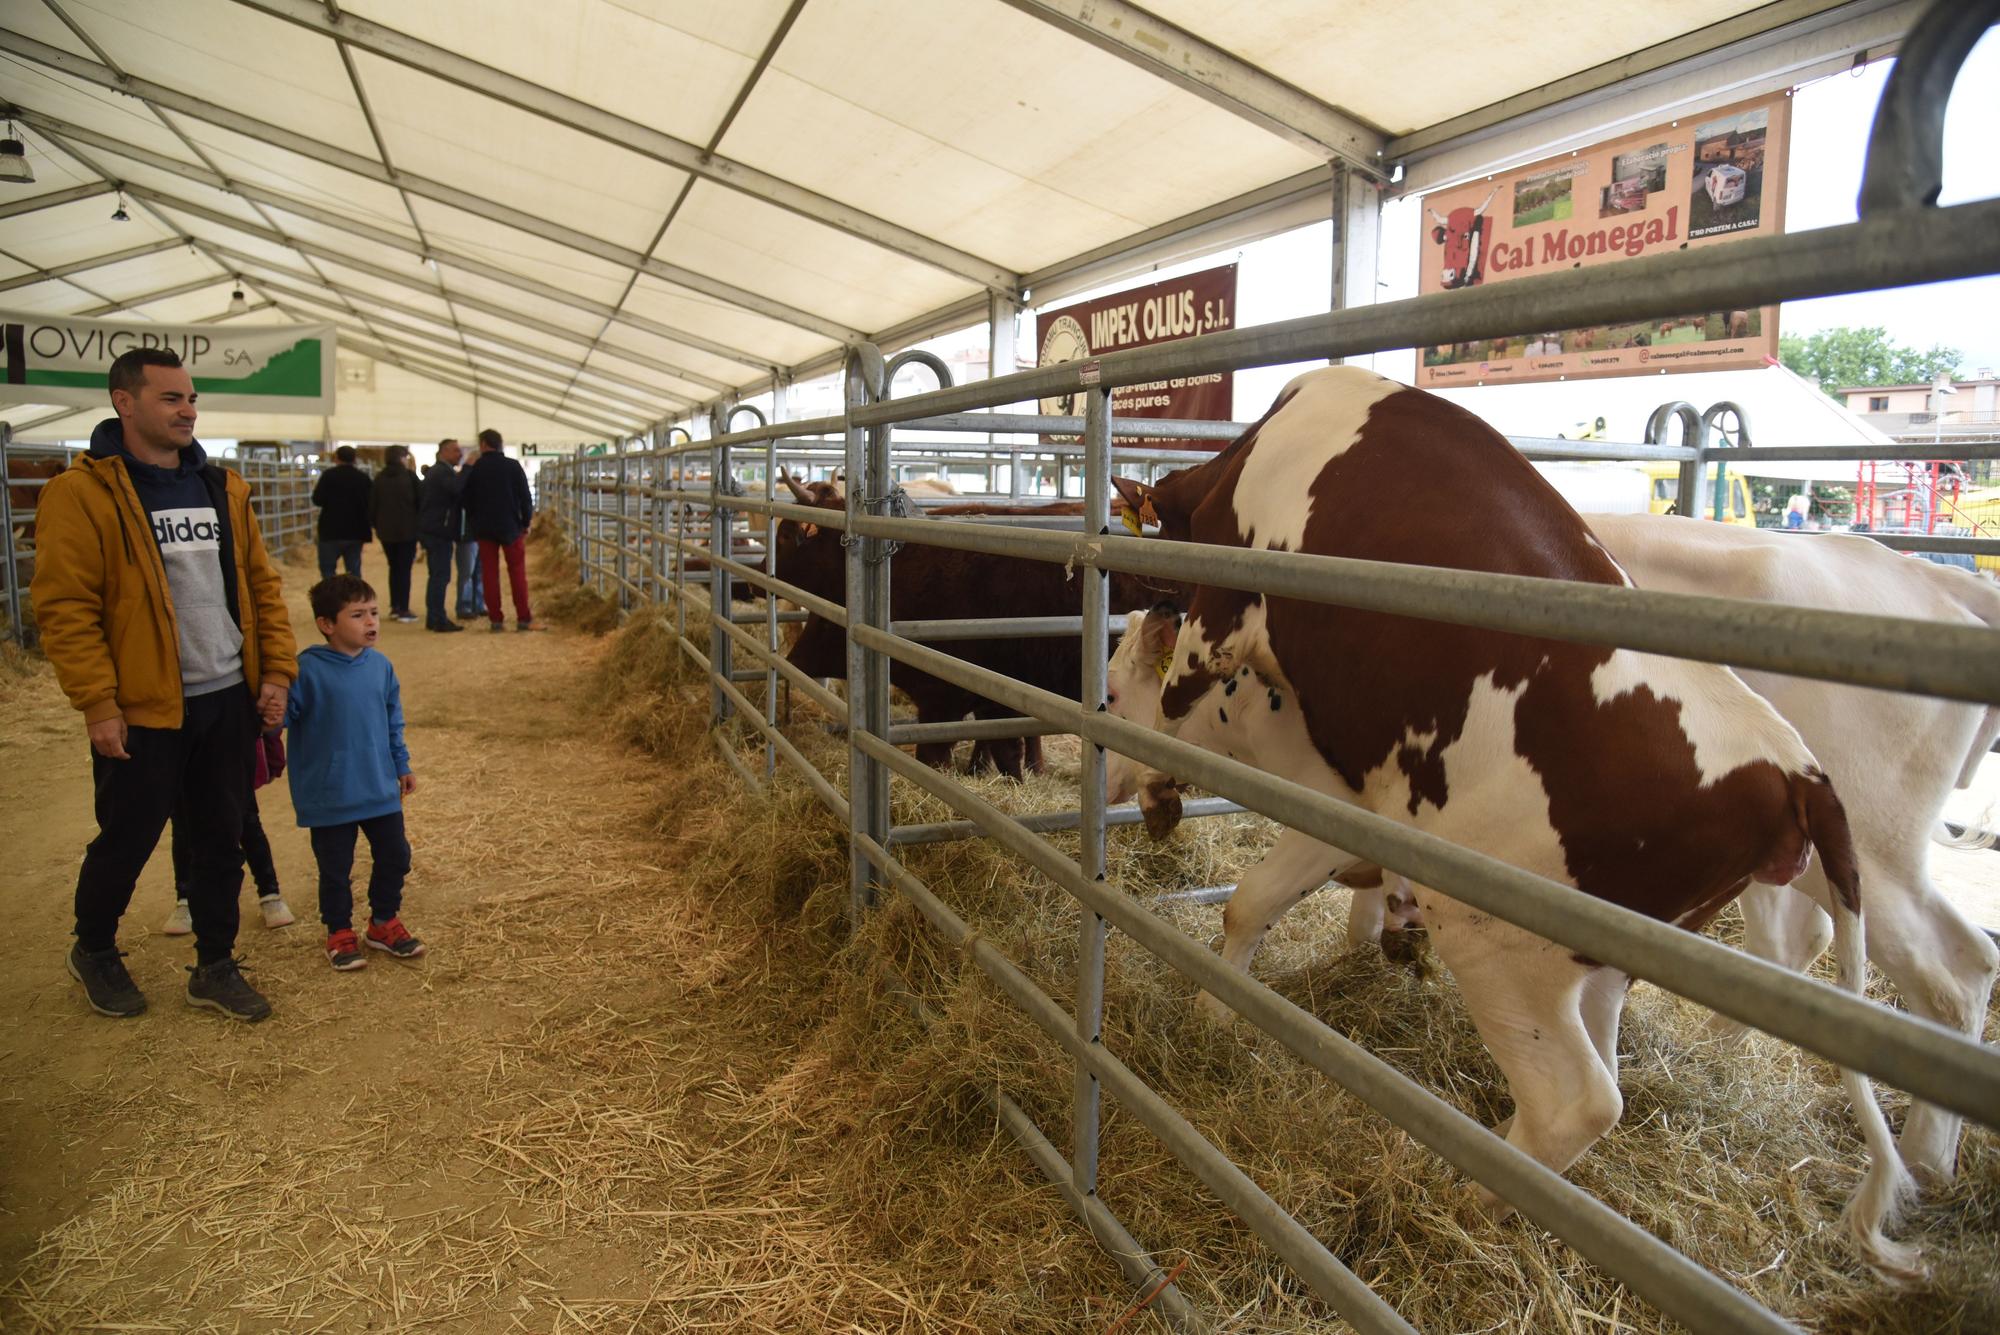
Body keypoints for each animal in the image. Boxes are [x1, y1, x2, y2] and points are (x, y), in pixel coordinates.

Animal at [1112, 365, 1920, 1279]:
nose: (1147, 607)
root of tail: (1792, 770)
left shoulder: (1226, 617)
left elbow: (1183, 730)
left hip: (1498, 937)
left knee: (1580, 1100)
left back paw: (1469, 1194)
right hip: (1595, 961)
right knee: (1593, 1063)